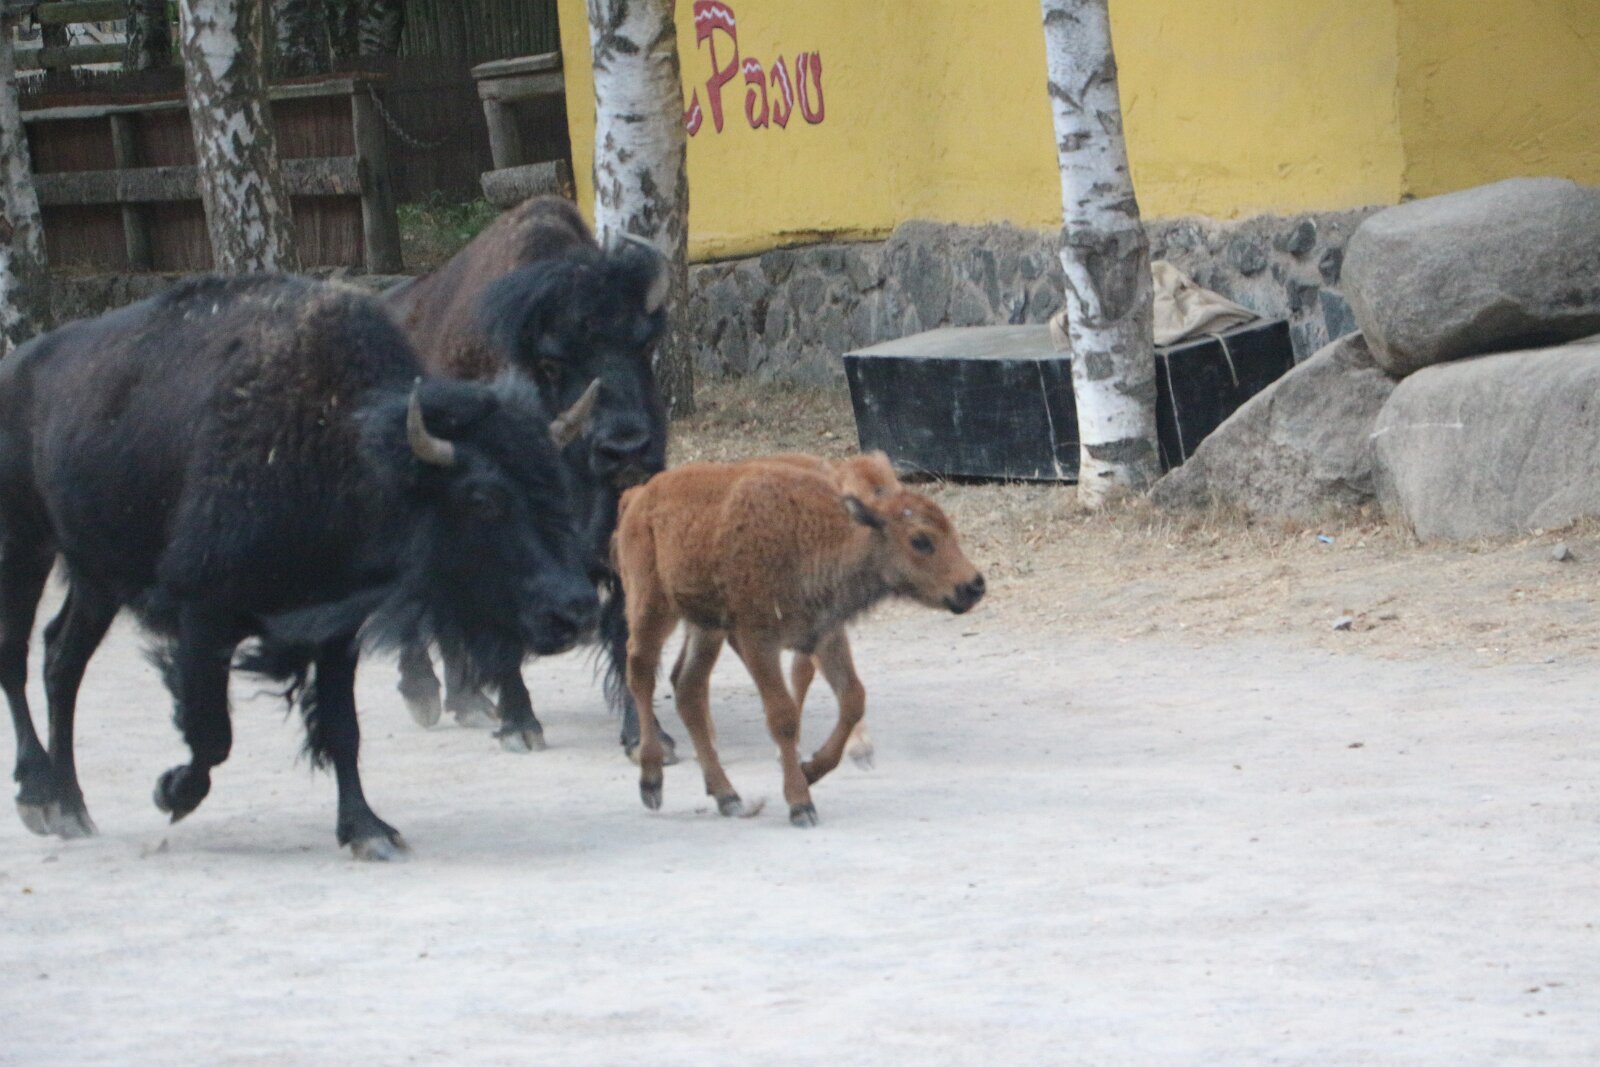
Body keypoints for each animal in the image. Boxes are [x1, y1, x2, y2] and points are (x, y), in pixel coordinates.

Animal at [0, 274, 598, 859]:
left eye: (556, 487)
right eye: (482, 499)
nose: (574, 610)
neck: (342, 447)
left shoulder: (336, 627)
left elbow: (341, 726)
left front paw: (367, 831)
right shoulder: (203, 613)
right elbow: (212, 732)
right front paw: (170, 790)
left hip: (95, 576)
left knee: (62, 659)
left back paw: (72, 809)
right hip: (25, 549)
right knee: (18, 657)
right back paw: (40, 798)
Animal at [386, 196, 671, 757]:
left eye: (646, 347)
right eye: (552, 363)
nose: (627, 447)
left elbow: (625, 624)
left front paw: (648, 738)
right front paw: (521, 727)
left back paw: (469, 701)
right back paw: (426, 695)